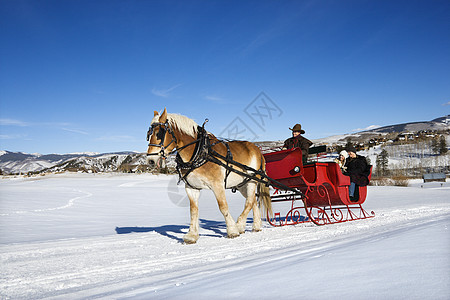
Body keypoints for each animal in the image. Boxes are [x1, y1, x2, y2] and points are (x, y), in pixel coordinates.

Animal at [147, 108, 270, 244]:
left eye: (159, 133)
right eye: (148, 134)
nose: (150, 160)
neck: (200, 151)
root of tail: (257, 150)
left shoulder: (217, 185)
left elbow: (223, 207)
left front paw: (232, 230)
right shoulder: (191, 187)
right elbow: (193, 210)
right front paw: (192, 235)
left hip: (252, 181)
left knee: (249, 202)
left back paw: (239, 225)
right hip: (242, 184)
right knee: (253, 200)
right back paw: (256, 226)